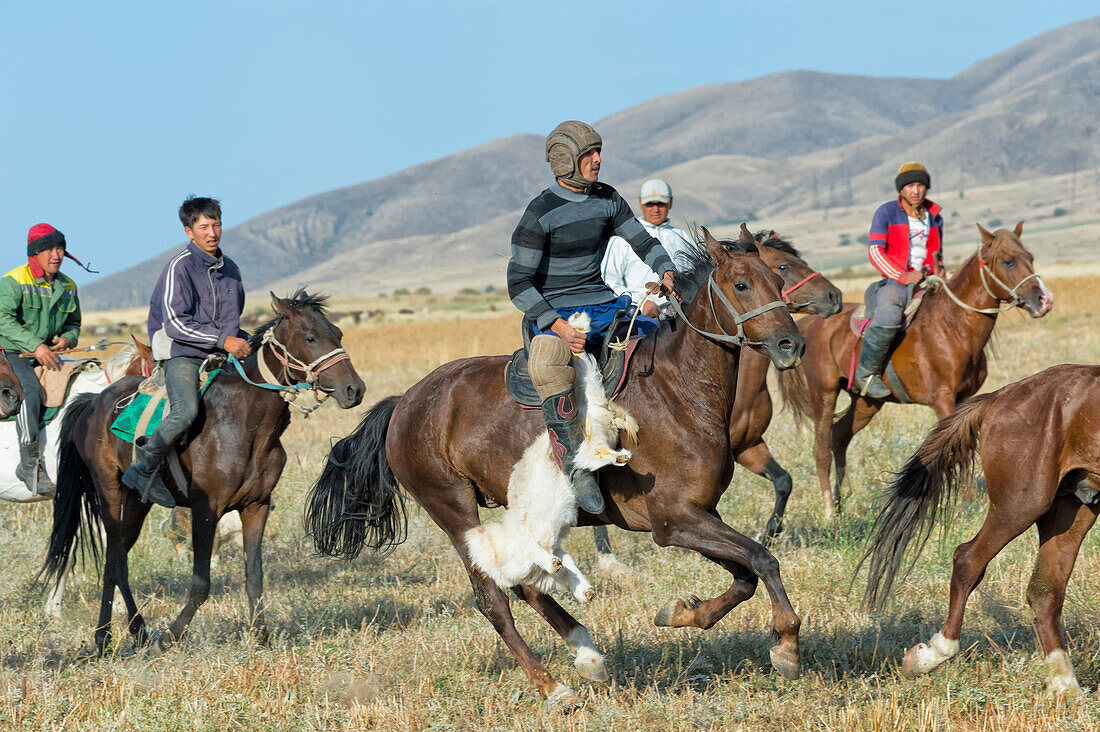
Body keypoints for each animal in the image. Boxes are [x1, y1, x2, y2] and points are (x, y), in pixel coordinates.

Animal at [42, 290, 363, 651]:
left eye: (338, 334)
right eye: (310, 337)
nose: (354, 389)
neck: (244, 423)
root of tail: (91, 402)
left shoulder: (256, 506)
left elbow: (254, 575)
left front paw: (261, 635)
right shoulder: (205, 510)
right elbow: (200, 583)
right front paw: (170, 636)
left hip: (138, 500)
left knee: (116, 555)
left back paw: (110, 635)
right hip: (108, 489)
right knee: (117, 559)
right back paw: (131, 632)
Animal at [310, 228, 809, 708]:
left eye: (778, 280)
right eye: (742, 284)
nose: (792, 344)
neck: (676, 390)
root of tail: (403, 404)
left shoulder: (698, 515)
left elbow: (745, 575)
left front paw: (683, 612)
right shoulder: (674, 520)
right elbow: (762, 558)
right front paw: (786, 644)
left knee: (526, 585)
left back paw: (587, 654)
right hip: (455, 512)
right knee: (493, 598)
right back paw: (552, 687)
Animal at [778, 221, 1051, 519]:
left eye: (1031, 258)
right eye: (1007, 261)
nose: (1044, 300)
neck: (953, 326)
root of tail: (810, 324)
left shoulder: (966, 398)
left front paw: (968, 502)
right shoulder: (943, 399)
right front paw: (964, 505)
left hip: (867, 402)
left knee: (839, 436)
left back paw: (842, 499)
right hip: (824, 393)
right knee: (821, 447)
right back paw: (830, 510)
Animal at [862, 365, 1095, 695]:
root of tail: (1003, 395)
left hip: (1071, 507)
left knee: (1045, 590)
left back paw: (1065, 687)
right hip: (1022, 503)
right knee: (968, 559)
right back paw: (932, 655)